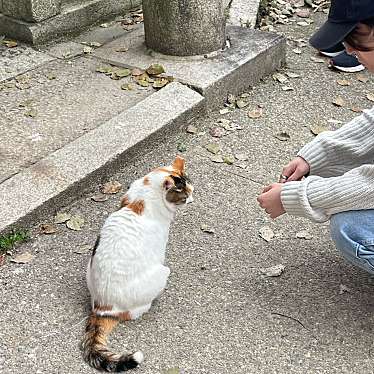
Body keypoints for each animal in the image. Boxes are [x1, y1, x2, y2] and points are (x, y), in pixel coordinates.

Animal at [81, 156, 193, 372]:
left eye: (191, 187)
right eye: (184, 195)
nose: (192, 198)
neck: (147, 190)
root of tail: (103, 308)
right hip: (162, 272)